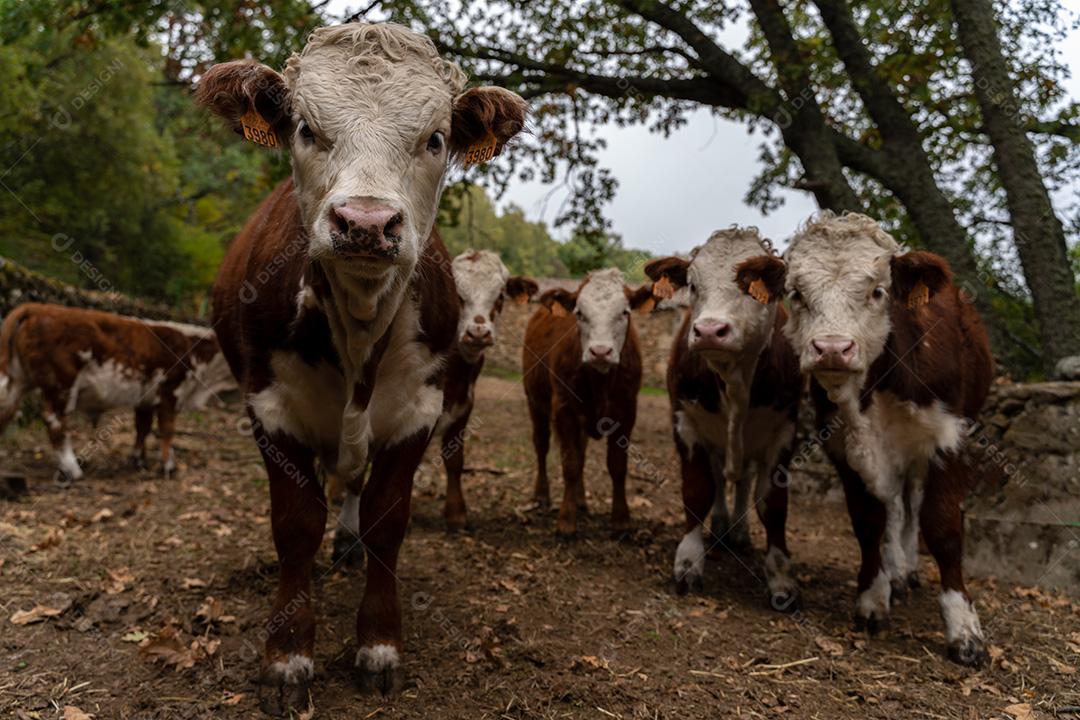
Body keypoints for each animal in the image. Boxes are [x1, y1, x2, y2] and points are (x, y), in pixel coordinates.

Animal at [0, 302, 232, 481]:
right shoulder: (170, 391)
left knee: (6, 411)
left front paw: (139, 460)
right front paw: (168, 466)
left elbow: (142, 428)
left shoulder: (146, 398)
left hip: (18, 380)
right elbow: (167, 430)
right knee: (55, 421)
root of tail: (37, 308)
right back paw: (72, 469)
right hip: (61, 385)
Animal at [199, 22, 527, 716]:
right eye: (304, 128)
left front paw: (378, 645)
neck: (357, 323)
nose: (366, 223)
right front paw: (287, 657)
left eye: (435, 138)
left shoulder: (420, 409)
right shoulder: (270, 405)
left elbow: (386, 518)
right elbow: (297, 525)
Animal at [520, 268, 652, 535]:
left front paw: (621, 520)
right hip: (534, 401)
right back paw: (542, 495)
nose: (600, 351)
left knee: (581, 451)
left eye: (625, 312)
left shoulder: (627, 410)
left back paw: (580, 500)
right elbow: (570, 463)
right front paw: (566, 521)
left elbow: (617, 465)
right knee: (541, 445)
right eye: (579, 313)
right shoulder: (563, 408)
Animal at [639, 226, 803, 608]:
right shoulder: (685, 421)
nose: (710, 330)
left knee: (742, 481)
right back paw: (721, 525)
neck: (734, 380)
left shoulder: (784, 432)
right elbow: (698, 491)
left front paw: (781, 577)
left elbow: (773, 504)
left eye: (751, 285)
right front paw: (688, 562)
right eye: (693, 284)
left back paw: (739, 532)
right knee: (718, 478)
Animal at [777, 211, 993, 669]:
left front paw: (964, 629)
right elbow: (869, 522)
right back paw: (895, 572)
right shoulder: (844, 445)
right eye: (796, 293)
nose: (832, 348)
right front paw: (873, 599)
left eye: (878, 291)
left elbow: (942, 526)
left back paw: (907, 570)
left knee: (911, 504)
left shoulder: (950, 439)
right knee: (895, 506)